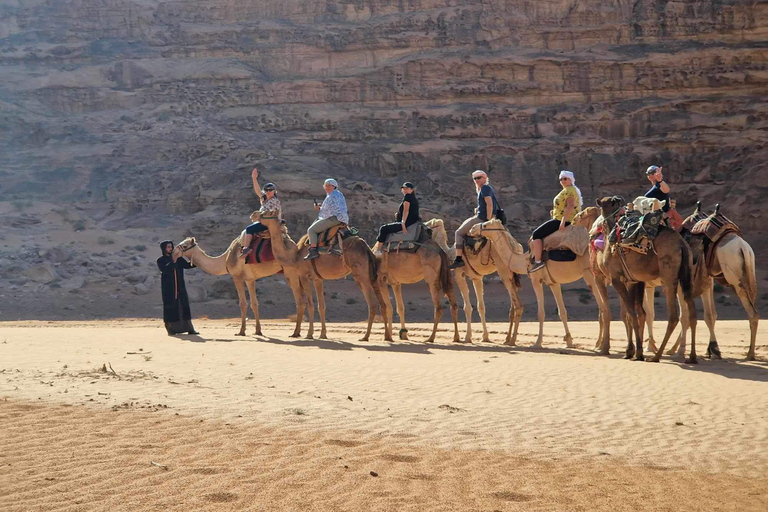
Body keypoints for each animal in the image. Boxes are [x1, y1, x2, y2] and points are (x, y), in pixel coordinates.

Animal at [176, 234, 312, 338]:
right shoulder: (250, 279)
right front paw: (258, 331)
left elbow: (242, 303)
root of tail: (297, 249)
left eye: (184, 245)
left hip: (291, 273)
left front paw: (241, 331)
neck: (225, 259)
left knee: (300, 301)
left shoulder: (237, 277)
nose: (174, 252)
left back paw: (296, 333)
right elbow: (254, 303)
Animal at [260, 210, 392, 342]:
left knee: (372, 305)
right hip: (372, 275)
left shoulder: (304, 276)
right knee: (383, 304)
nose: (257, 217)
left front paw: (309, 334)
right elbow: (321, 306)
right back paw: (387, 336)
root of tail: (367, 248)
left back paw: (365, 336)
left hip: (360, 276)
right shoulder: (317, 279)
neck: (295, 256)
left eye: (266, 213)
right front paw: (323, 334)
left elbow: (310, 305)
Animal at [596, 196, 700, 364]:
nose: (618, 199)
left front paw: (634, 352)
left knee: (673, 316)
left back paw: (657, 356)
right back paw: (692, 357)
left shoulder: (616, 278)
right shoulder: (633, 281)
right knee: (692, 313)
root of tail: (682, 245)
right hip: (687, 275)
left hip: (668, 277)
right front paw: (634, 352)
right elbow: (638, 314)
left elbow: (631, 314)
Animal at [640, 203, 760, 360]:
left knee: (751, 312)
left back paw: (749, 354)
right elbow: (707, 315)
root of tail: (742, 246)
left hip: (733, 276)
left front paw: (670, 349)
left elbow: (668, 315)